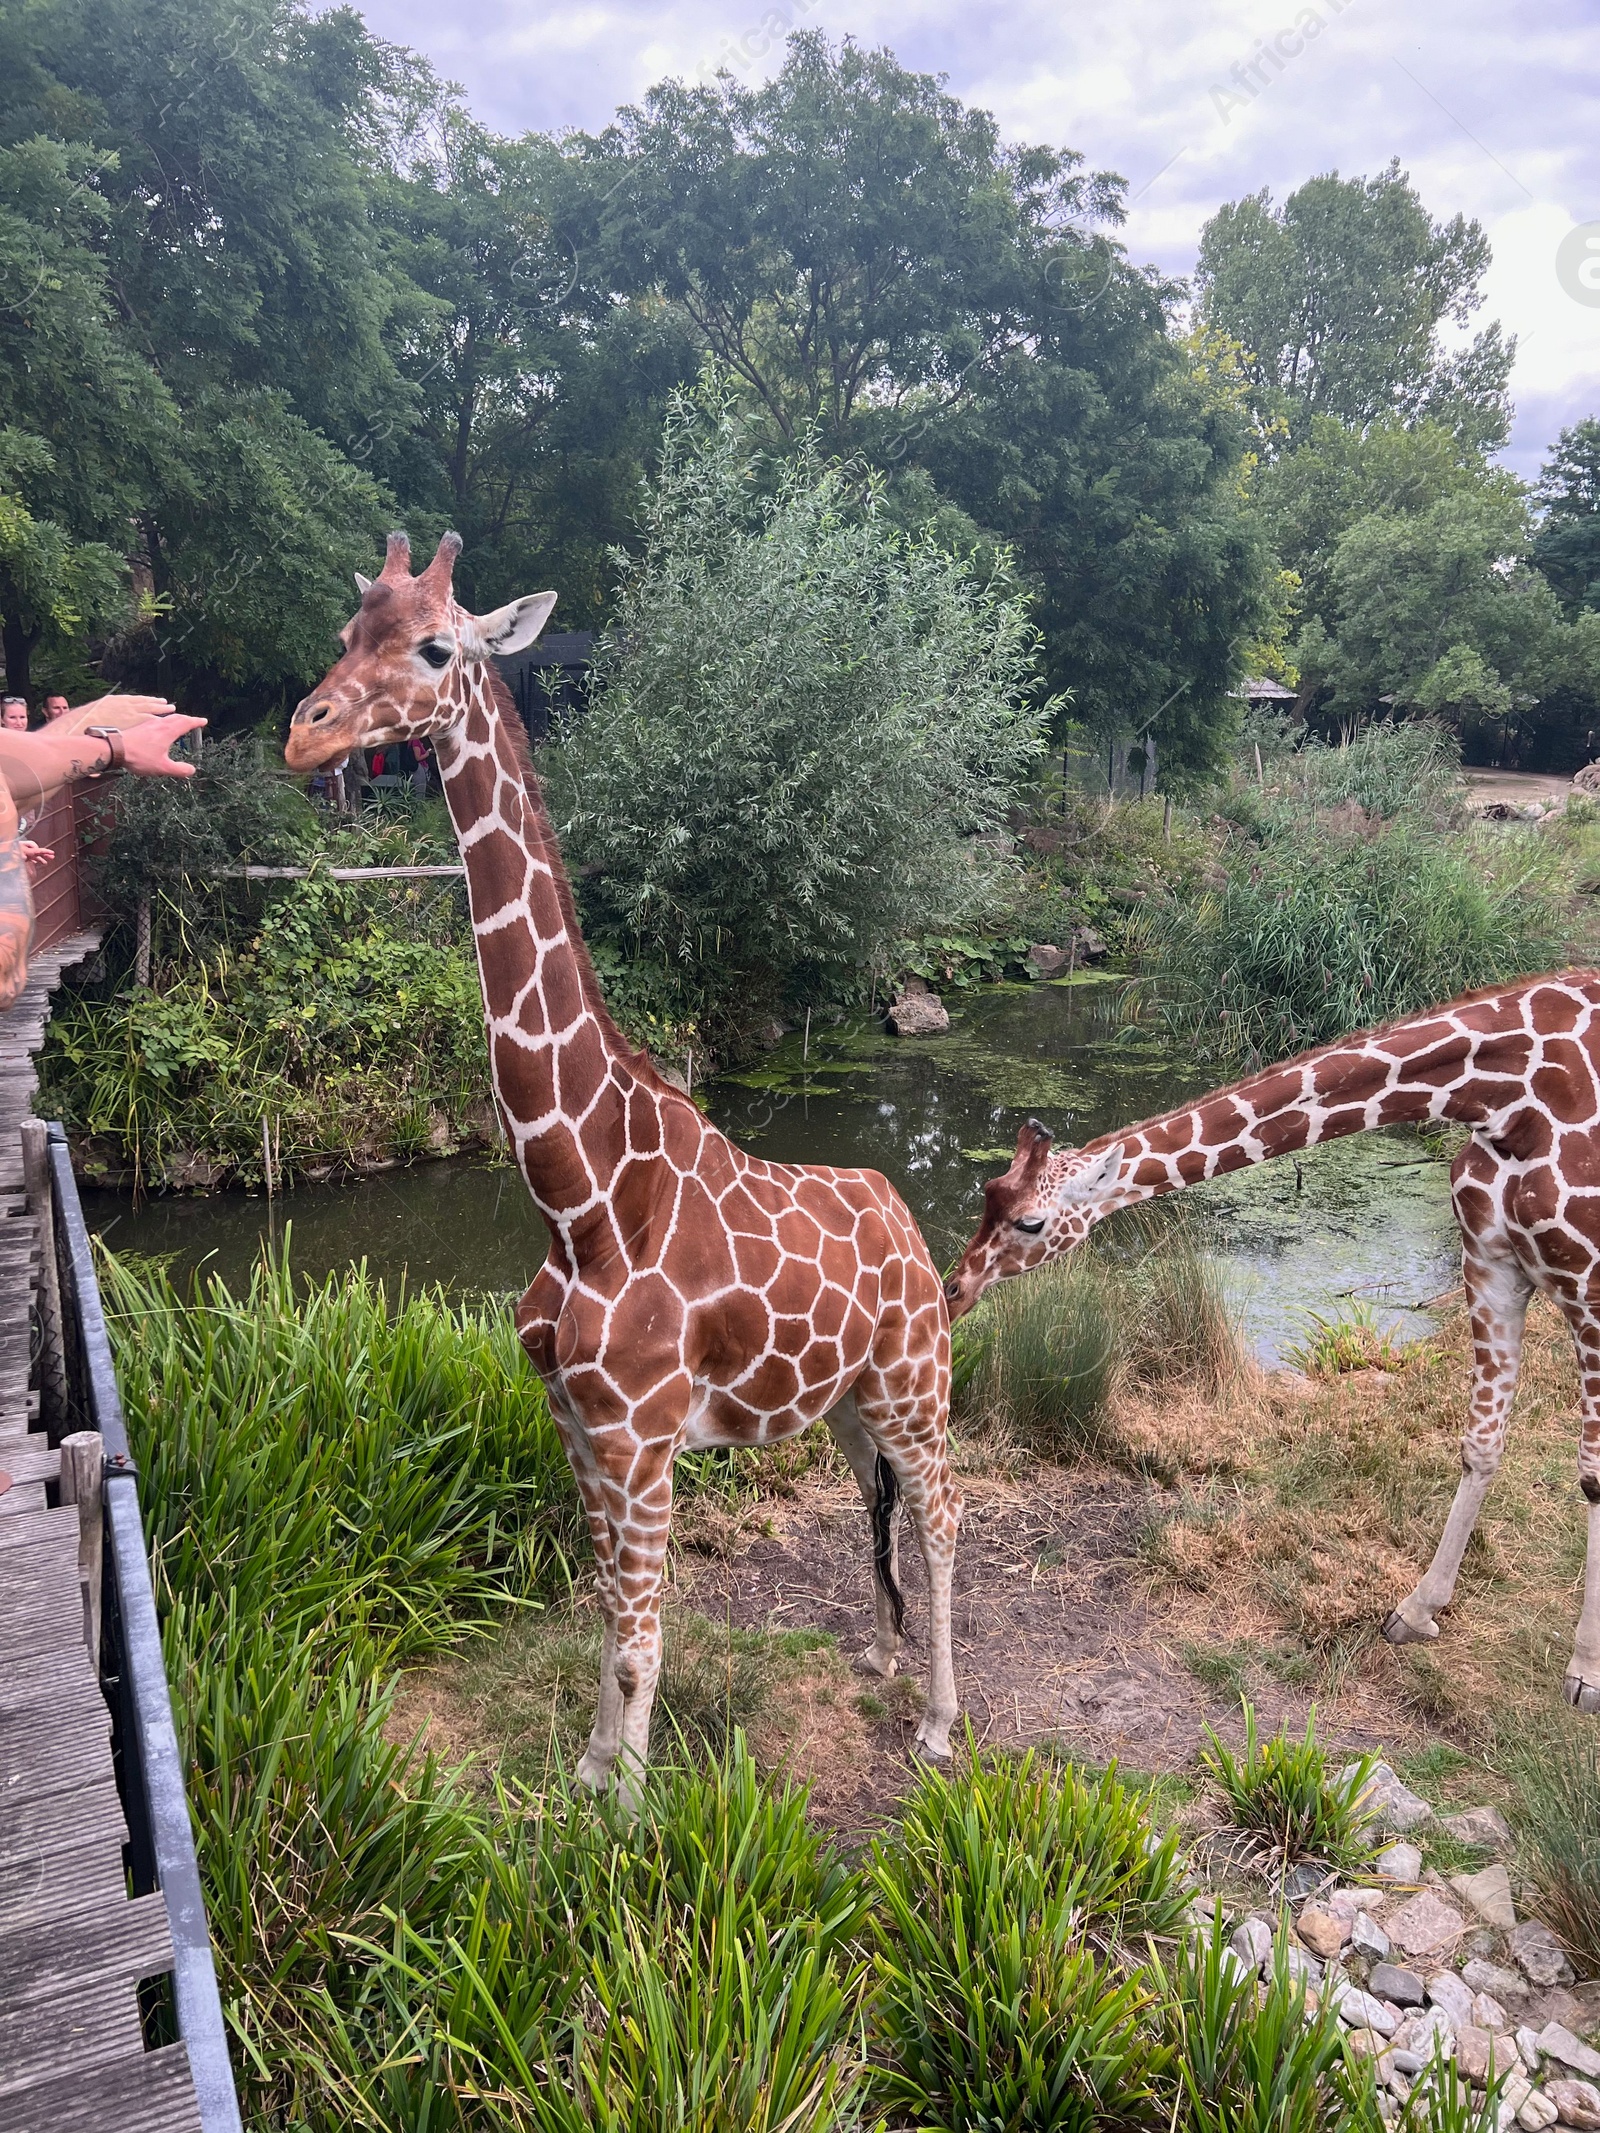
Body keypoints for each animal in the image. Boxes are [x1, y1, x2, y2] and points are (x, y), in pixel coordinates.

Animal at [285, 528, 964, 1783]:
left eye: (435, 646)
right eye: (349, 632)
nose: (307, 733)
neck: (581, 1197)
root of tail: (899, 1206)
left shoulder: (643, 1439)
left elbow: (644, 1634)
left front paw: (627, 1803)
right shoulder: (575, 1426)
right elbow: (607, 1610)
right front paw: (596, 1767)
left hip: (913, 1378)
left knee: (943, 1513)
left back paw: (941, 1723)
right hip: (847, 1404)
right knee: (883, 1500)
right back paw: (885, 1660)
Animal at [951, 976, 1600, 1723]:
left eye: (1031, 1221)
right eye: (987, 1193)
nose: (954, 1288)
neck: (1502, 1096)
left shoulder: (1590, 1283)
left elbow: (1592, 1472)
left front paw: (1586, 1672)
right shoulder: (1492, 1263)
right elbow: (1481, 1445)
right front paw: (1415, 1610)